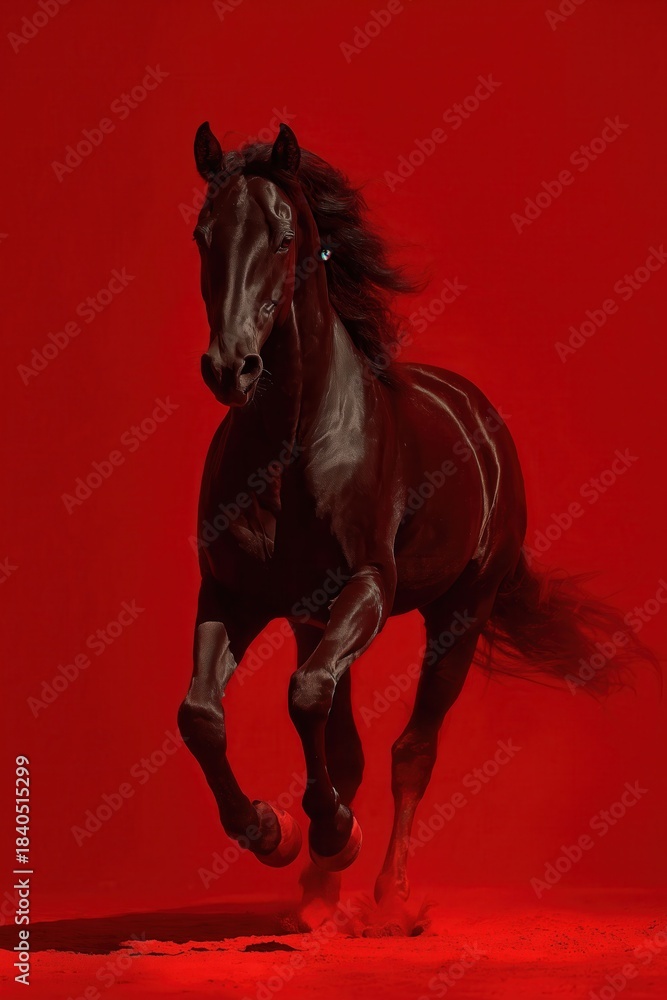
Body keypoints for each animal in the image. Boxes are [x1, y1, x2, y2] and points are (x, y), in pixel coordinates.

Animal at [177, 121, 655, 928]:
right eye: (202, 234)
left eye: (282, 235)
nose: (229, 368)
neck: (291, 445)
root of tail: (482, 421)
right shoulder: (233, 596)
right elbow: (203, 717)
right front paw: (273, 834)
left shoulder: (367, 586)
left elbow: (308, 700)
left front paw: (331, 833)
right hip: (314, 620)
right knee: (344, 738)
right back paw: (320, 889)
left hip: (459, 615)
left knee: (410, 751)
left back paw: (389, 896)